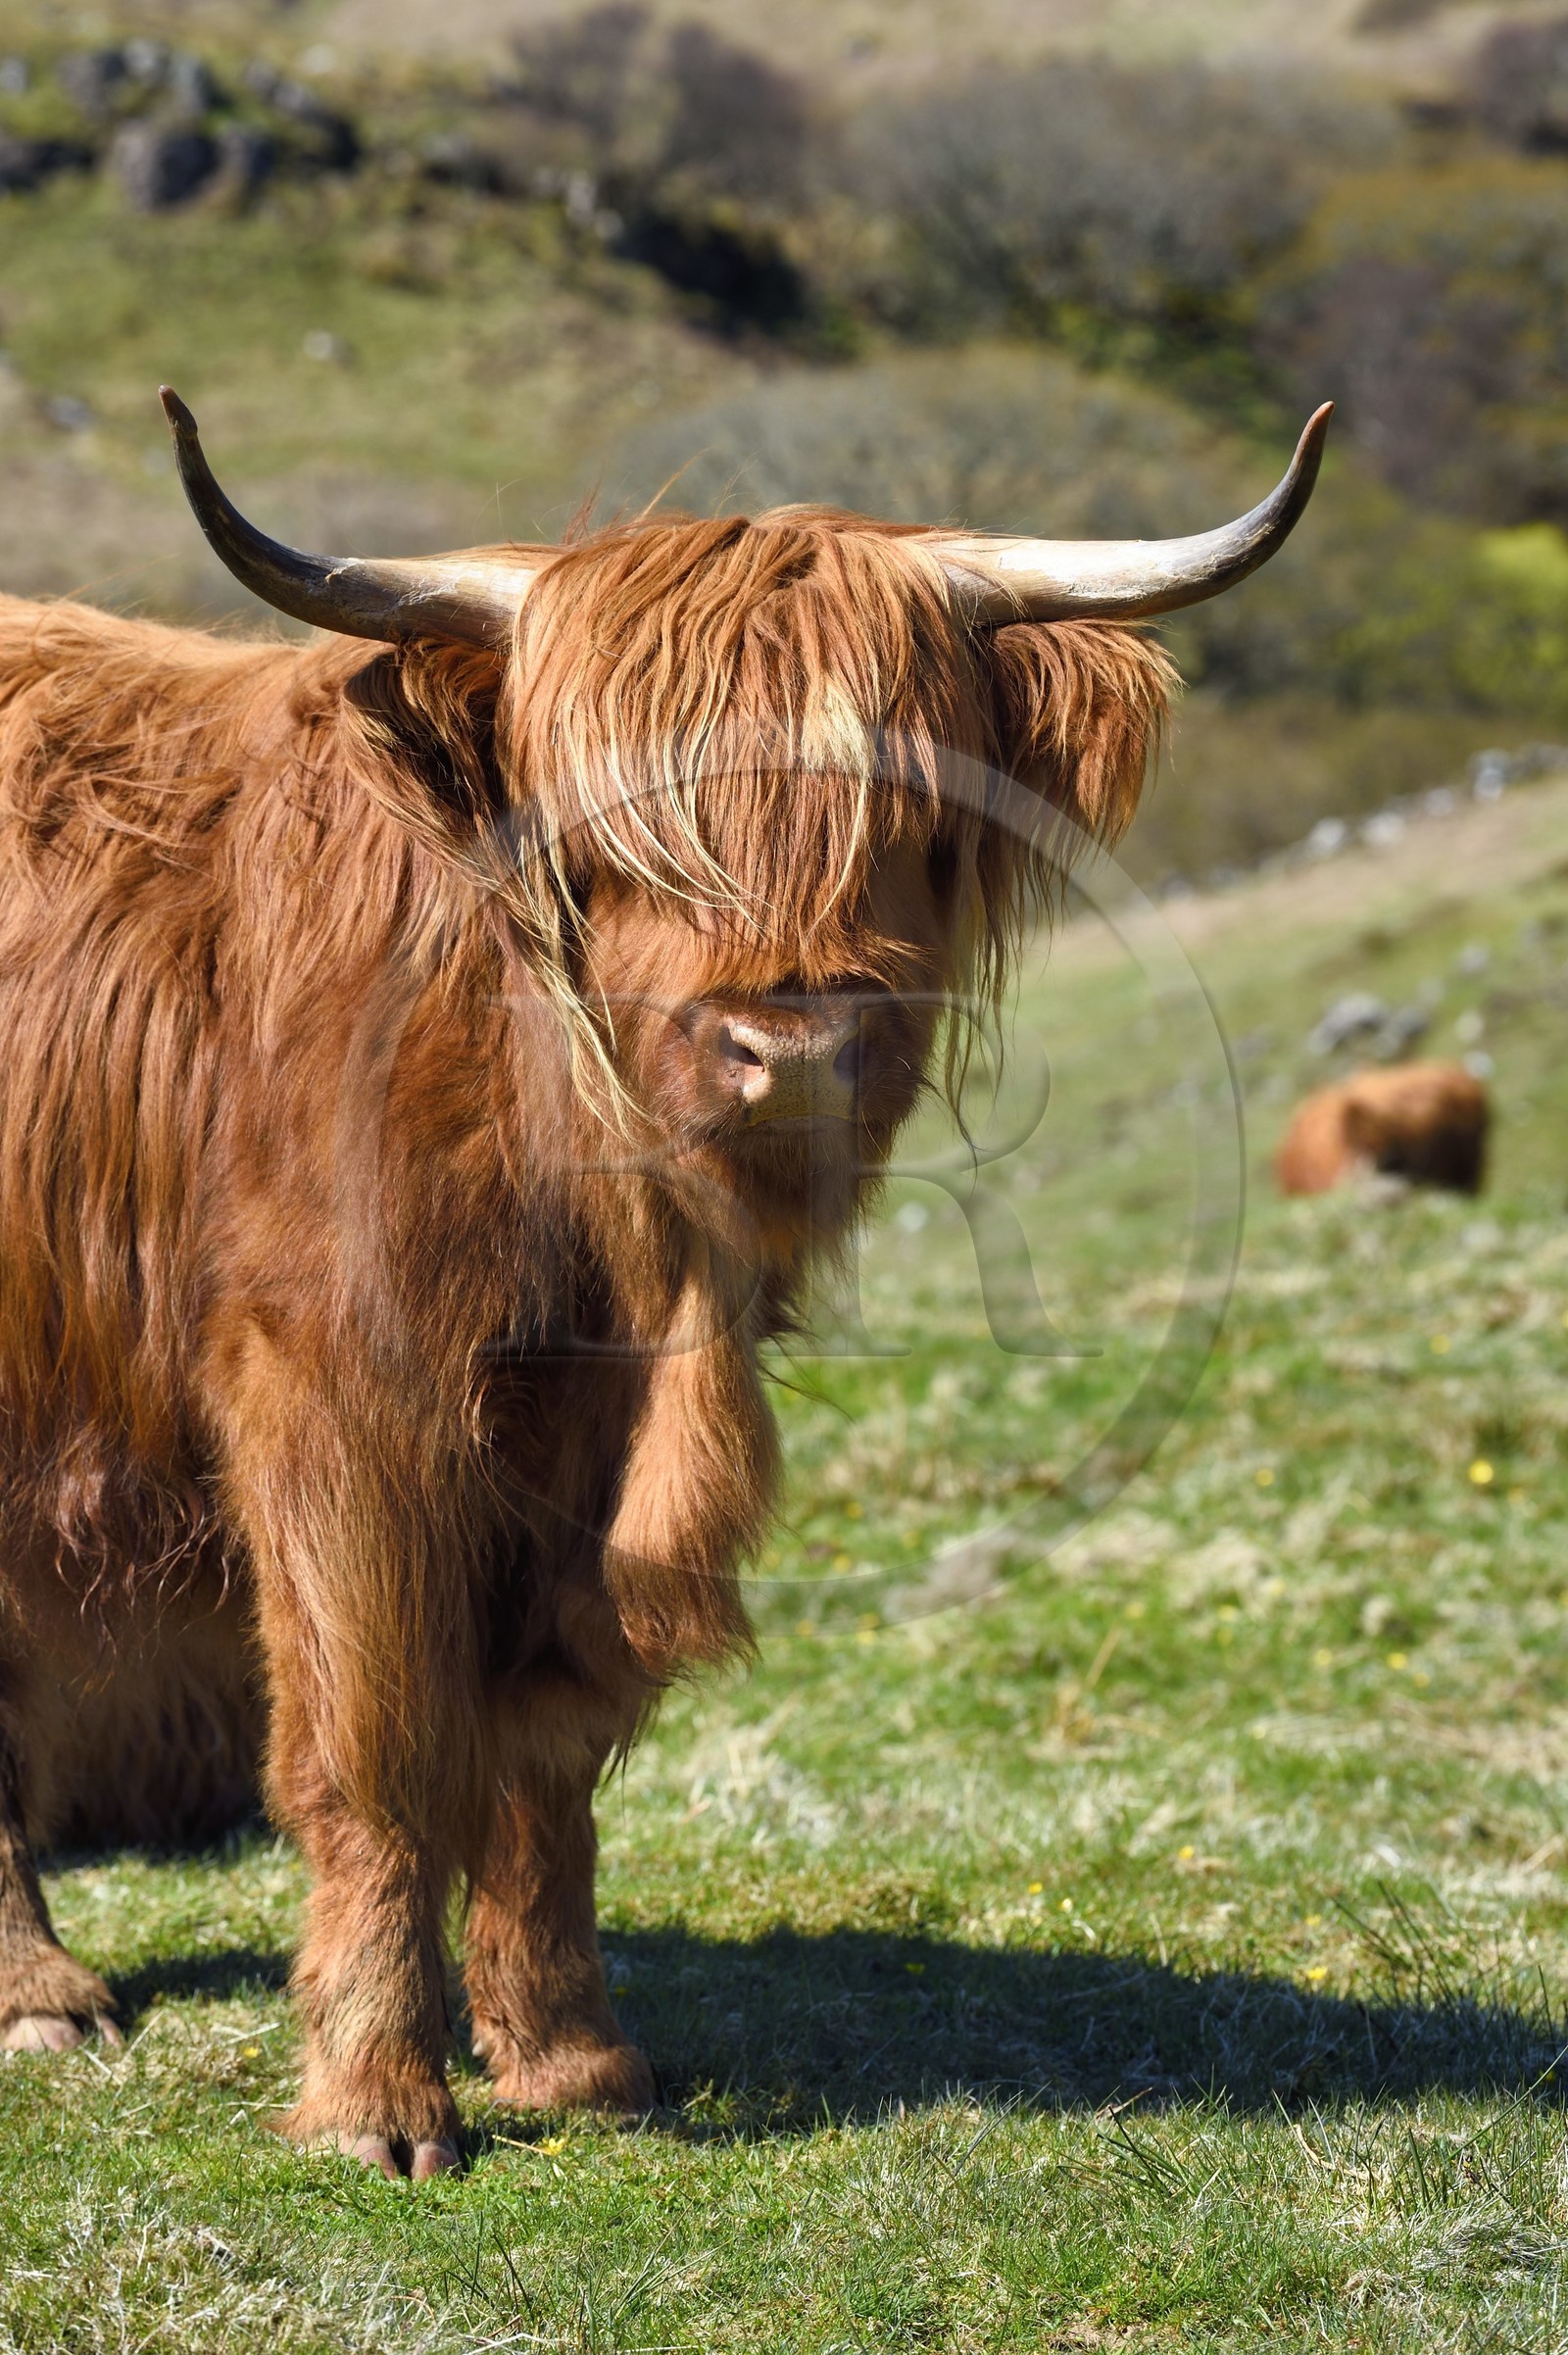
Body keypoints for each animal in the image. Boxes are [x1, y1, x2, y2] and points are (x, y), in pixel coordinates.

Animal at [0, 390, 1329, 2177]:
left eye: (909, 828)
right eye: (619, 847)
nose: (794, 1042)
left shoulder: (597, 1453)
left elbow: (548, 1751)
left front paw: (572, 2057)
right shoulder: (333, 1396)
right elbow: (374, 1736)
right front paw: (377, 2095)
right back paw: (42, 1994)